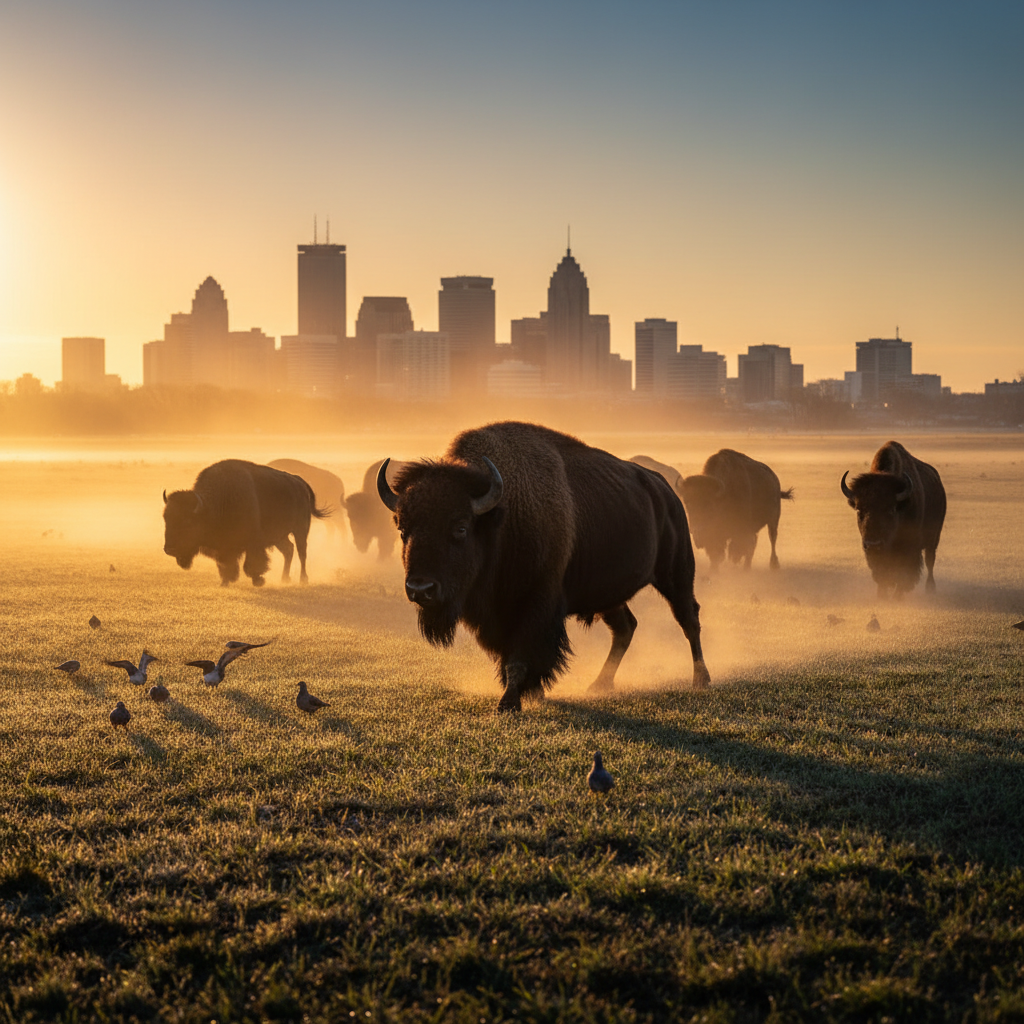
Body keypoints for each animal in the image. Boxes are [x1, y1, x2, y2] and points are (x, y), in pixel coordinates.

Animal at [163, 459, 329, 587]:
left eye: (188, 522)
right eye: (166, 518)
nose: (169, 549)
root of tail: (300, 482)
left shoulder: (253, 543)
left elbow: (251, 564)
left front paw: (258, 581)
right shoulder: (224, 547)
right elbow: (226, 564)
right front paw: (225, 581)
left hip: (301, 530)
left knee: (302, 552)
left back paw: (303, 580)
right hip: (279, 537)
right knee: (288, 550)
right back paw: (284, 579)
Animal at [377, 421, 710, 712]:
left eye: (460, 528)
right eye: (403, 529)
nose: (420, 589)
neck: (502, 517)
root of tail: (665, 491)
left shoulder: (536, 605)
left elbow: (520, 657)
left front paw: (510, 703)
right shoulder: (498, 617)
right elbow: (507, 657)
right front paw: (531, 693)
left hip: (676, 575)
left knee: (689, 619)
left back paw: (701, 680)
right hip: (609, 595)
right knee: (626, 627)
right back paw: (599, 685)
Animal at [841, 440, 946, 597]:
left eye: (891, 510)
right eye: (859, 510)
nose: (873, 544)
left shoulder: (908, 548)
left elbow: (904, 573)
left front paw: (898, 595)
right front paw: (882, 594)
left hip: (933, 538)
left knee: (929, 560)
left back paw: (930, 588)